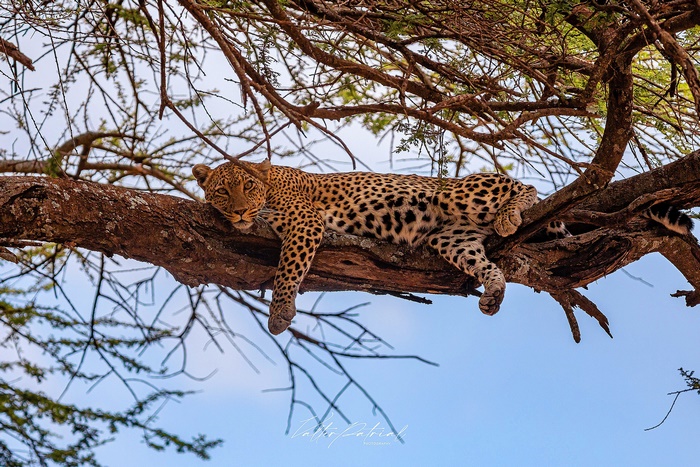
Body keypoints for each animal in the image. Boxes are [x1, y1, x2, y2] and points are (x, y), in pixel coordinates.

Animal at [192, 159, 694, 335]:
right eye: (221, 192)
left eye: (245, 188)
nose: (240, 212)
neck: (270, 187)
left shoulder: (303, 221)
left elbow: (288, 268)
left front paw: (279, 313)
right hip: (450, 236)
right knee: (485, 261)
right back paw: (493, 292)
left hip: (458, 193)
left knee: (524, 185)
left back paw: (511, 215)